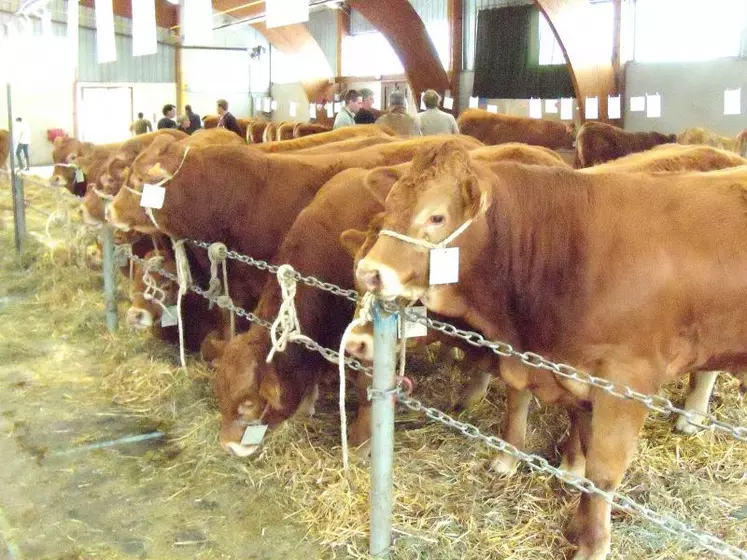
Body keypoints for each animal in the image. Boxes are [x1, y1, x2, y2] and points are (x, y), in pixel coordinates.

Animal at [356, 141, 747, 560]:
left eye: (436, 216)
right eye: (391, 206)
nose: (369, 272)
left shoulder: (626, 383)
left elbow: (603, 472)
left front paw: (592, 546)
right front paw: (577, 519)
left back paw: (691, 417)